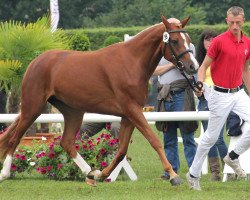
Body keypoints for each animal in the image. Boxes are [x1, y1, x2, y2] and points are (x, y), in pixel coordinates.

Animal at [0, 15, 198, 186]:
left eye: (188, 39)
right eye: (174, 41)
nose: (193, 66)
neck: (132, 62)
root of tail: (35, 62)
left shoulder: (128, 115)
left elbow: (121, 151)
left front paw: (102, 174)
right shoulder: (132, 110)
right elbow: (154, 140)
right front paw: (173, 176)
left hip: (73, 112)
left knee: (66, 142)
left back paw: (90, 172)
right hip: (33, 108)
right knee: (14, 139)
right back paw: (5, 173)